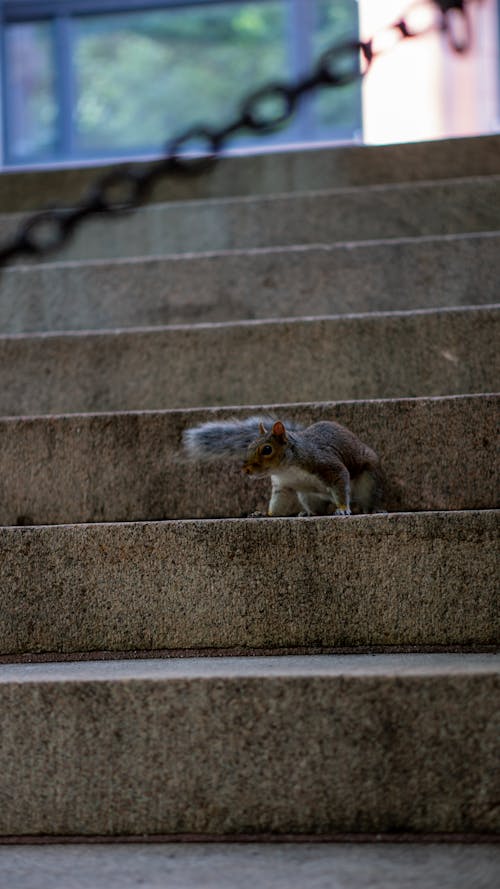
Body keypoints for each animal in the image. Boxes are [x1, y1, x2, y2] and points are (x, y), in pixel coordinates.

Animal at [184, 414, 382, 516]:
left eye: (267, 449)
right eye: (248, 445)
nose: (245, 470)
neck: (286, 469)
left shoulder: (328, 466)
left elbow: (340, 481)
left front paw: (342, 509)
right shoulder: (282, 486)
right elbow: (278, 504)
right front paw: (263, 514)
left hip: (368, 481)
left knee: (369, 498)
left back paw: (375, 510)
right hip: (308, 496)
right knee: (317, 509)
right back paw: (308, 514)